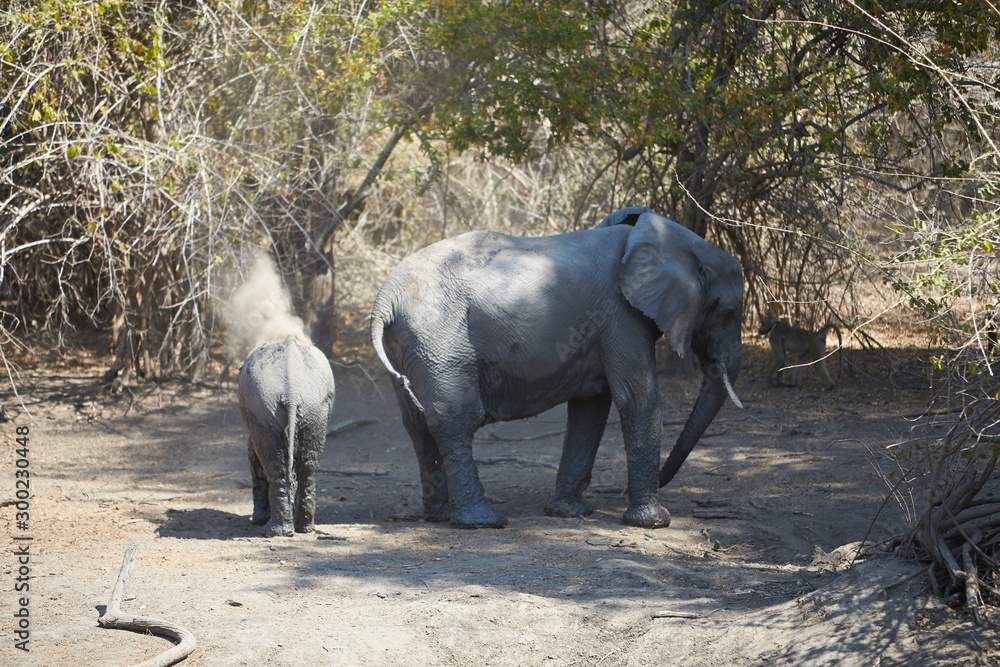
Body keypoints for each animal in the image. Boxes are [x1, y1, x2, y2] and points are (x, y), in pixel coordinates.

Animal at [238, 335, 336, 536]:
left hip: (263, 409)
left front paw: (257, 520)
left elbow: (254, 457)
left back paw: (275, 530)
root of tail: (292, 393)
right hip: (315, 409)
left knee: (273, 465)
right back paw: (304, 528)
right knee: (308, 465)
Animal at [370, 207, 743, 529]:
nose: (620, 492)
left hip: (409, 344)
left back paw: (439, 516)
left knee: (417, 424)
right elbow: (637, 399)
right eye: (731, 312)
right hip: (439, 341)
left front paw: (570, 512)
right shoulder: (620, 315)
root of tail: (385, 299)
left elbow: (591, 407)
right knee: (455, 419)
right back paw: (483, 522)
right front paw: (654, 521)